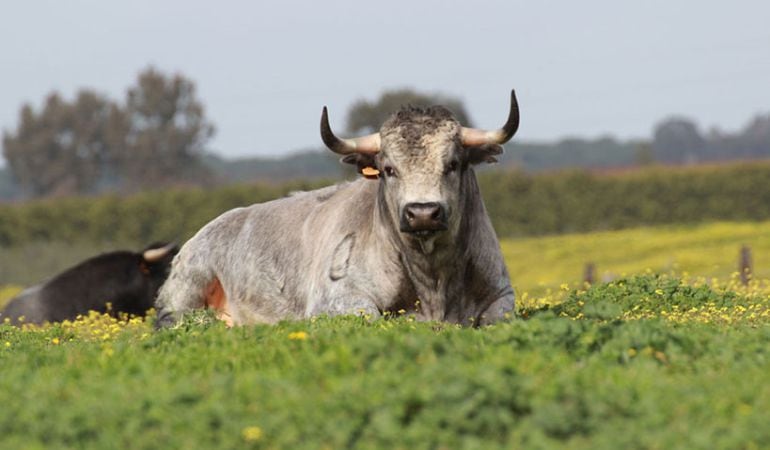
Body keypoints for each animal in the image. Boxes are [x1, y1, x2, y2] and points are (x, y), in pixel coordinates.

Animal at [154, 89, 520, 326]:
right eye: (389, 169)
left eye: (453, 164)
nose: (422, 213)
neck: (433, 279)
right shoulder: (339, 300)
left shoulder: (502, 296)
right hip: (185, 292)